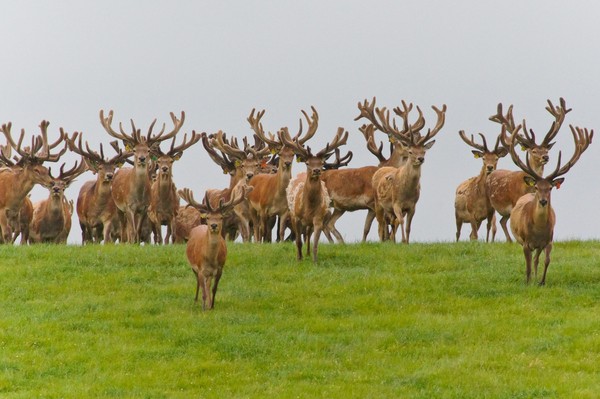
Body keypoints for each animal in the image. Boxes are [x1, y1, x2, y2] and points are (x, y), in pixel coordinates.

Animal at [99, 108, 184, 244]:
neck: (138, 196)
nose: (142, 158)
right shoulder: (129, 206)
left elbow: (138, 230)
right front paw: (132, 243)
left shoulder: (145, 208)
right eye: (134, 150)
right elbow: (132, 230)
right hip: (118, 208)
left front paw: (137, 243)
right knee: (123, 228)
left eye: (148, 150)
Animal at [246, 108, 318, 242]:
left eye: (293, 154)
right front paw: (262, 244)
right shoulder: (263, 209)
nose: (287, 162)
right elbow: (263, 232)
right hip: (251, 206)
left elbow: (281, 232)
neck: (277, 197)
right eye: (280, 154)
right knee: (257, 227)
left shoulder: (284, 212)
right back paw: (256, 242)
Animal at [282, 123, 352, 262]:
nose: (316, 170)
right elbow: (298, 242)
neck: (309, 206)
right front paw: (299, 259)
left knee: (309, 235)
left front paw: (315, 261)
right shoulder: (296, 217)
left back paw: (308, 253)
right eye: (307, 163)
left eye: (321, 162)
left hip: (310, 223)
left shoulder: (318, 219)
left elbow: (315, 243)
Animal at [486, 99, 568, 244]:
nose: (545, 157)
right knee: (493, 222)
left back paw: (509, 240)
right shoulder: (514, 201)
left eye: (546, 150)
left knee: (502, 221)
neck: (526, 188)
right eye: (533, 151)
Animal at [506, 125, 592, 284]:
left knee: (536, 259)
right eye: (536, 187)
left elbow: (546, 260)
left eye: (550, 188)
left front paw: (541, 282)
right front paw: (527, 282)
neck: (538, 230)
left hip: (539, 246)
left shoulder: (549, 240)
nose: (543, 201)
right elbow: (527, 264)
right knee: (530, 260)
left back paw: (535, 277)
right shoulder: (525, 242)